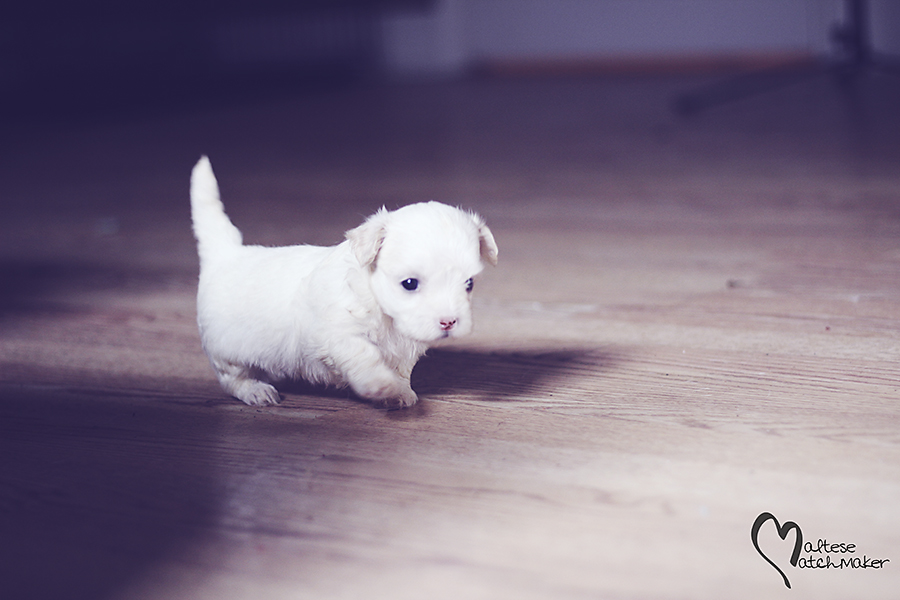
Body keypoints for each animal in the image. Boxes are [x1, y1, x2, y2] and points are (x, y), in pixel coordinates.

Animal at [191, 157, 500, 408]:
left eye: (469, 283)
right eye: (410, 283)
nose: (449, 322)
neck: (381, 309)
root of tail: (227, 253)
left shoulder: (404, 349)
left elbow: (401, 369)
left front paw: (400, 392)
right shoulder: (337, 335)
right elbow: (365, 356)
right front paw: (382, 385)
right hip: (226, 351)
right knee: (233, 378)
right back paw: (256, 391)